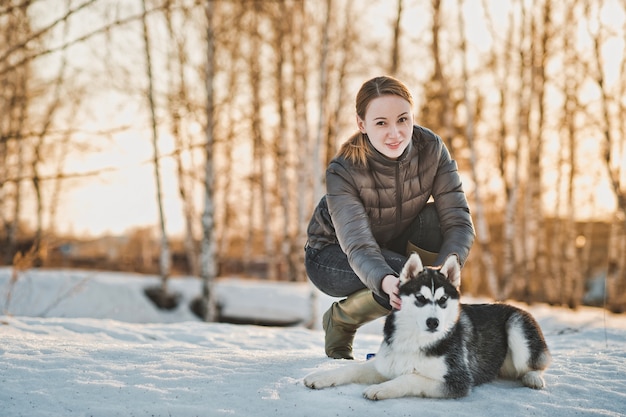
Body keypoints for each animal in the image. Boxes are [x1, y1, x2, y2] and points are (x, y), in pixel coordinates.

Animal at [304, 252, 552, 398]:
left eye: (442, 300)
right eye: (420, 298)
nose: (433, 322)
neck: (414, 340)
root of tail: (513, 306)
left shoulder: (457, 380)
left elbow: (410, 377)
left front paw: (380, 388)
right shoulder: (385, 363)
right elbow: (351, 368)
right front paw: (320, 377)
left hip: (517, 326)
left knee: (536, 364)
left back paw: (533, 377)